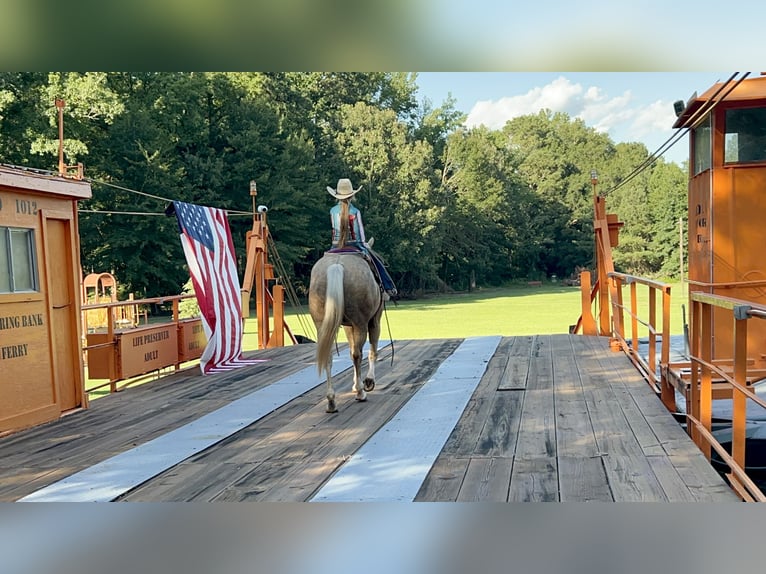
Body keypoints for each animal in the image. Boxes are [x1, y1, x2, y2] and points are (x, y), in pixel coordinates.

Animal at [308, 252, 388, 414]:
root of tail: (336, 265)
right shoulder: (374, 320)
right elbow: (371, 351)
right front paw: (368, 382)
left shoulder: (347, 326)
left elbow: (351, 352)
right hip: (361, 323)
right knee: (358, 354)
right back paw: (360, 392)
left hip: (322, 325)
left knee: (328, 356)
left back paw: (331, 401)